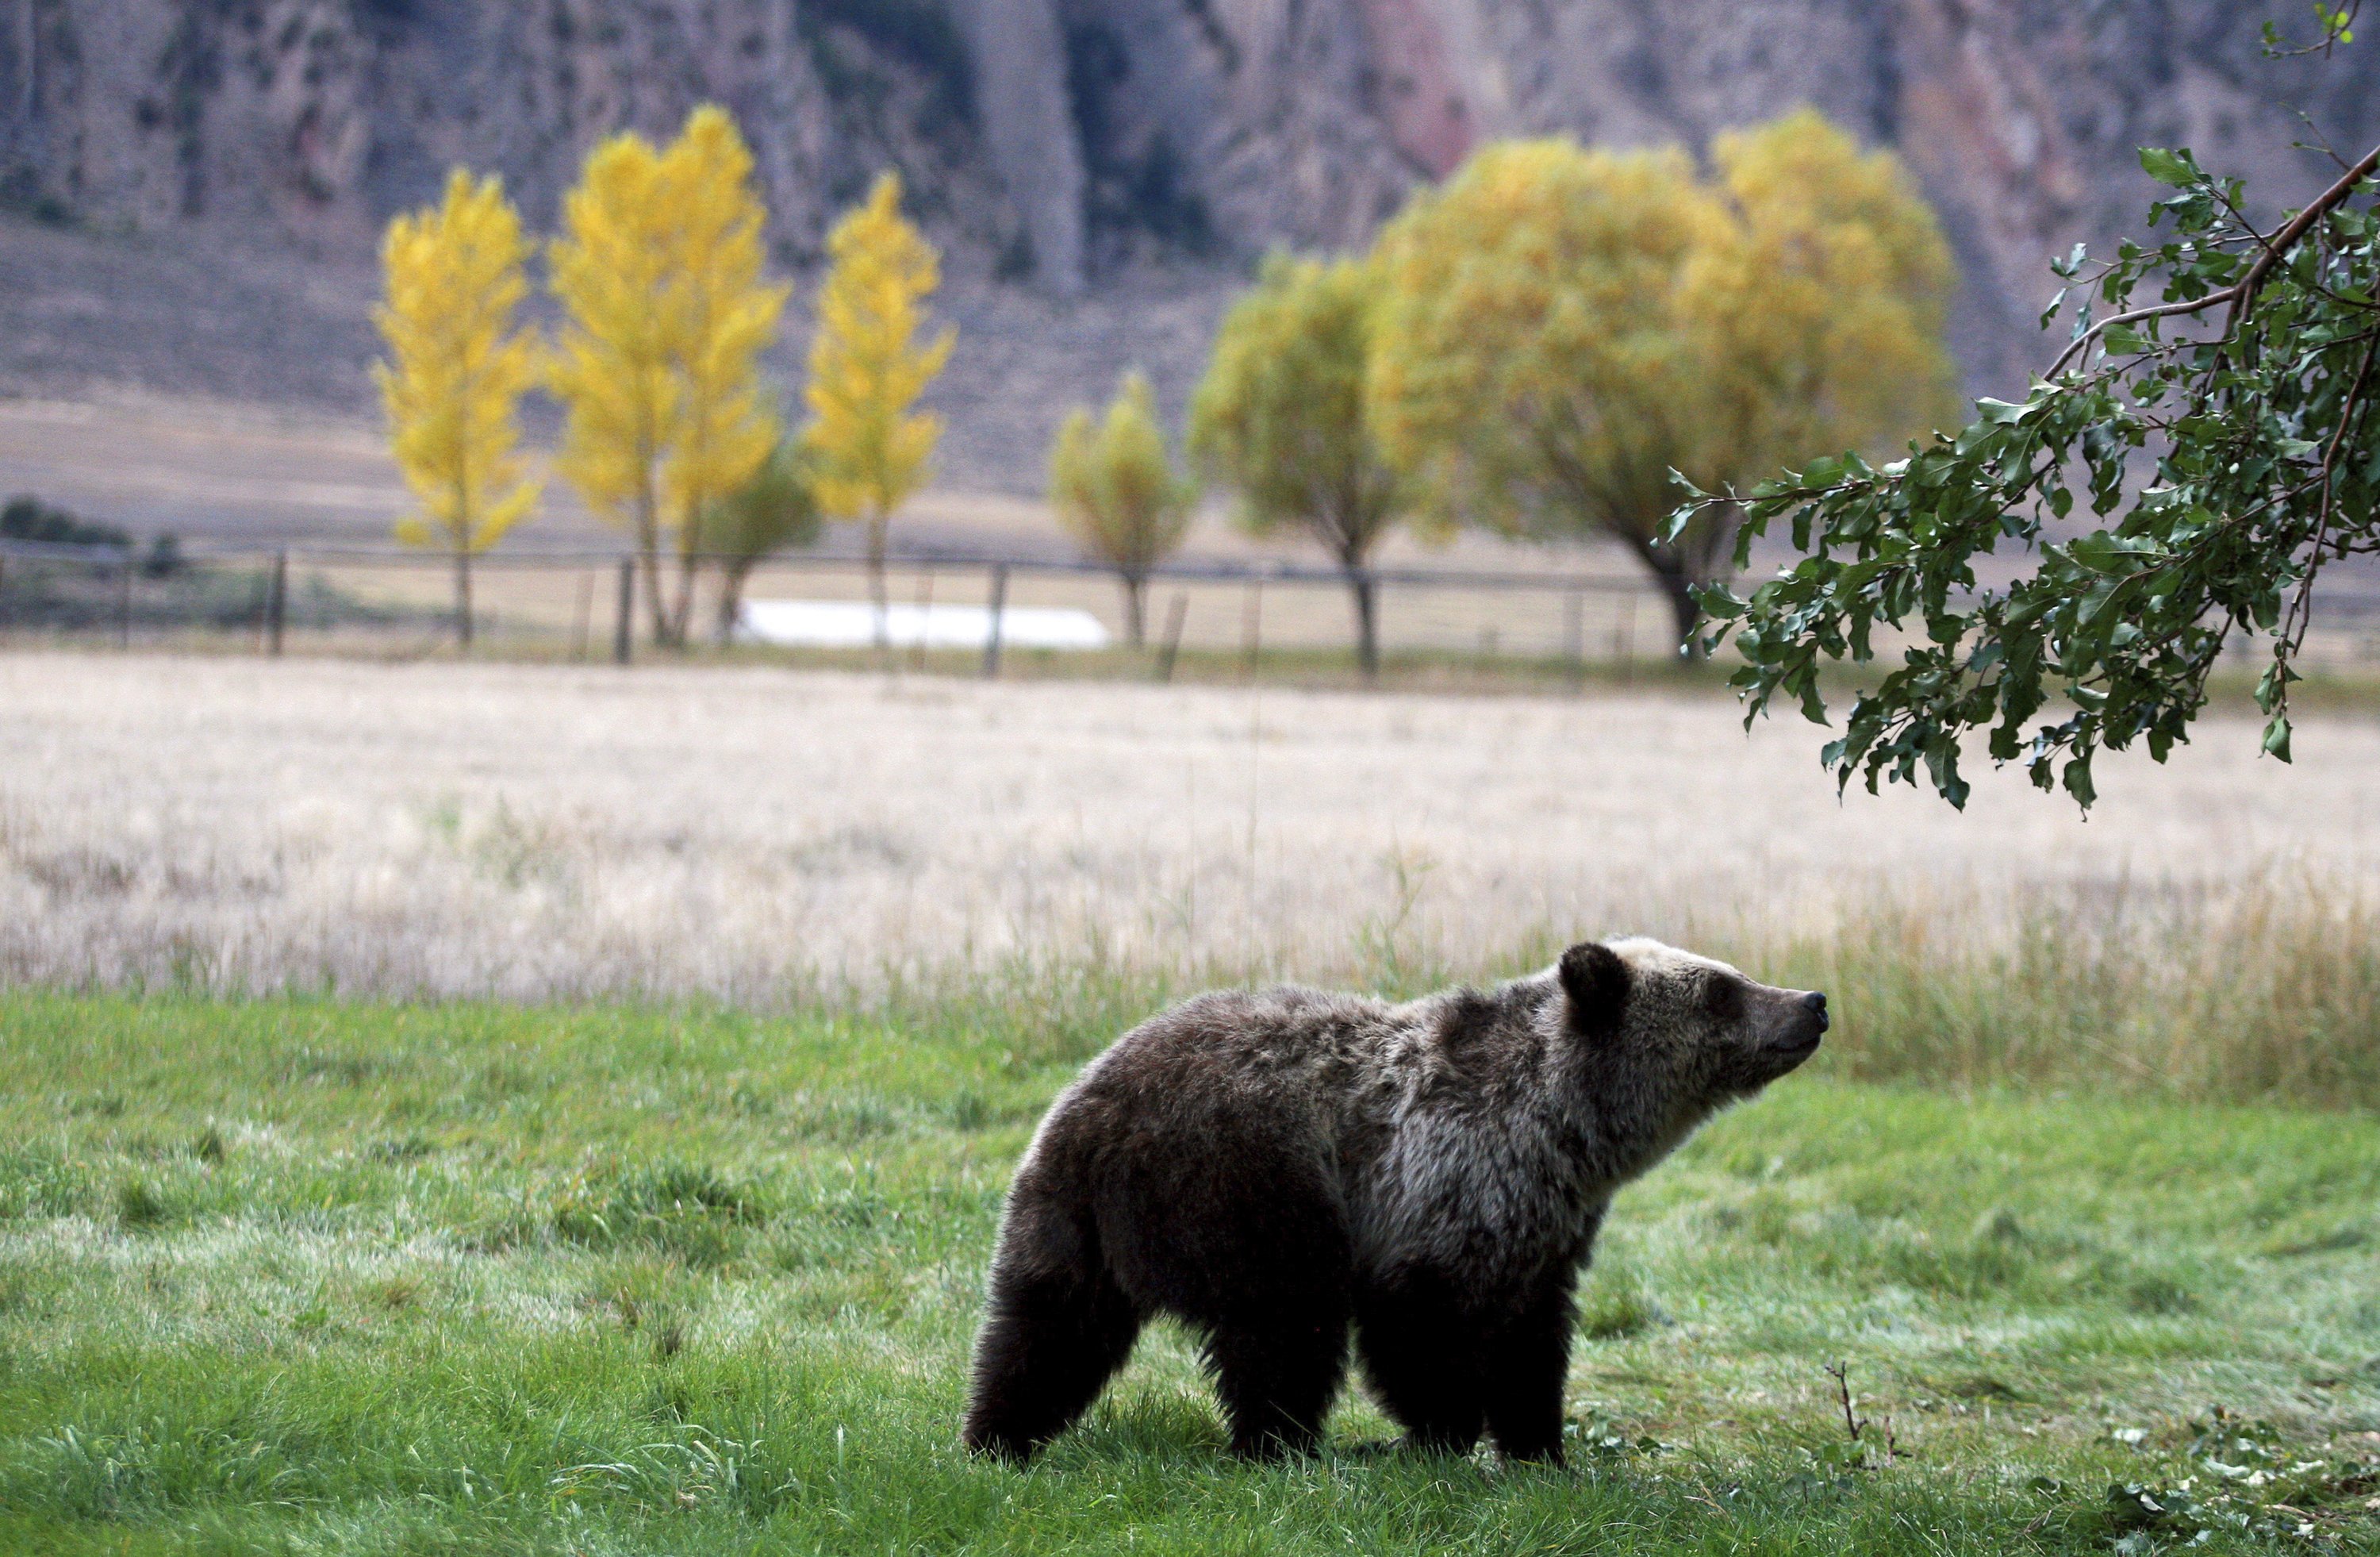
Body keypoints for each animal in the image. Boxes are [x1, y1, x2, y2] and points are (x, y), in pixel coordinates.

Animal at [957, 948, 1828, 1467]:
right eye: (1722, 988)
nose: (1813, 1001)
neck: (1566, 1131)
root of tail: (1092, 1109)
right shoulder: (1440, 1188)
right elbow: (1421, 1330)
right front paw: (1444, 1432)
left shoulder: (1549, 1231)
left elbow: (1533, 1341)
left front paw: (1539, 1448)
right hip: (1251, 1185)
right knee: (1284, 1328)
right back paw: (1282, 1446)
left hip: (1066, 1220)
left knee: (1045, 1328)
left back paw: (998, 1436)